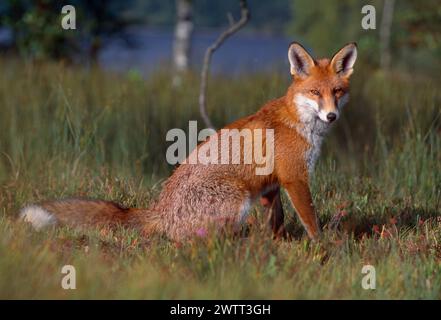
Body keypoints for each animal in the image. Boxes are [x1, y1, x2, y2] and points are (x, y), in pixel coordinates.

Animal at [21, 42, 358, 240]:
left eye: (337, 92)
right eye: (315, 93)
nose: (331, 116)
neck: (299, 123)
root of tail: (159, 211)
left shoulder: (271, 185)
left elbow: (276, 221)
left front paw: (277, 246)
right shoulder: (294, 179)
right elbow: (311, 222)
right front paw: (323, 251)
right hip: (237, 198)